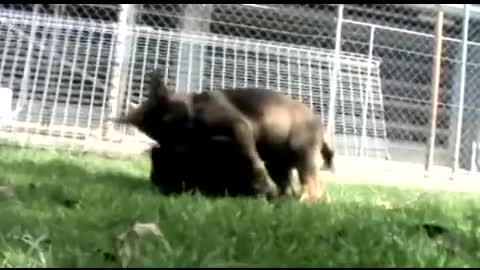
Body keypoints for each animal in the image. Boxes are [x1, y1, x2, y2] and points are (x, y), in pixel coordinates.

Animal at [115, 69, 334, 202]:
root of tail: (319, 125)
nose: (177, 146)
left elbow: (253, 160)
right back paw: (286, 197)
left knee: (310, 183)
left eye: (176, 122)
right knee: (289, 183)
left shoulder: (239, 128)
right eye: (163, 136)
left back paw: (306, 199)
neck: (195, 106)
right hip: (278, 163)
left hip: (302, 153)